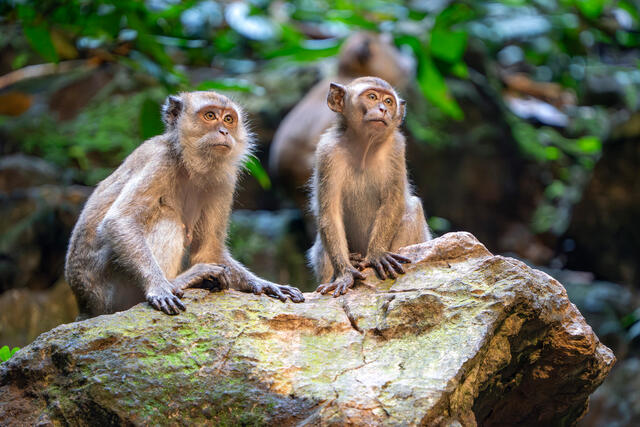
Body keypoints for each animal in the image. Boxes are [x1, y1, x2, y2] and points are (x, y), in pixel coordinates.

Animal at [65, 91, 304, 319]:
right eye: (210, 116)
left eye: (228, 119)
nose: (224, 132)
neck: (186, 161)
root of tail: (86, 305)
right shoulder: (160, 160)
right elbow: (119, 221)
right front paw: (159, 287)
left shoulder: (225, 180)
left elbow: (209, 250)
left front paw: (264, 284)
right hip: (112, 289)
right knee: (167, 217)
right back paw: (177, 282)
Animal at [307, 77, 431, 297]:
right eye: (372, 97)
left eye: (389, 101)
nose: (383, 109)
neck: (364, 146)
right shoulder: (327, 152)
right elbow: (330, 214)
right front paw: (345, 273)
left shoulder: (396, 148)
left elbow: (393, 202)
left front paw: (377, 253)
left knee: (414, 208)